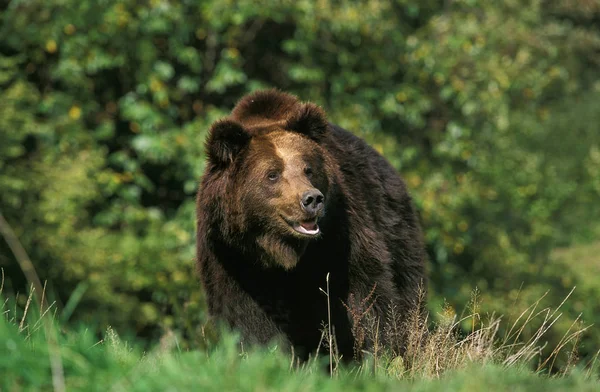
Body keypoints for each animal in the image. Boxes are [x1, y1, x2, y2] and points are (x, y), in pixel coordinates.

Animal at [197, 89, 426, 362]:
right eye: (272, 174)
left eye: (308, 169)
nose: (312, 199)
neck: (280, 250)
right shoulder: (230, 253)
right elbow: (244, 313)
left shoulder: (341, 232)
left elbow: (366, 292)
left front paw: (375, 351)